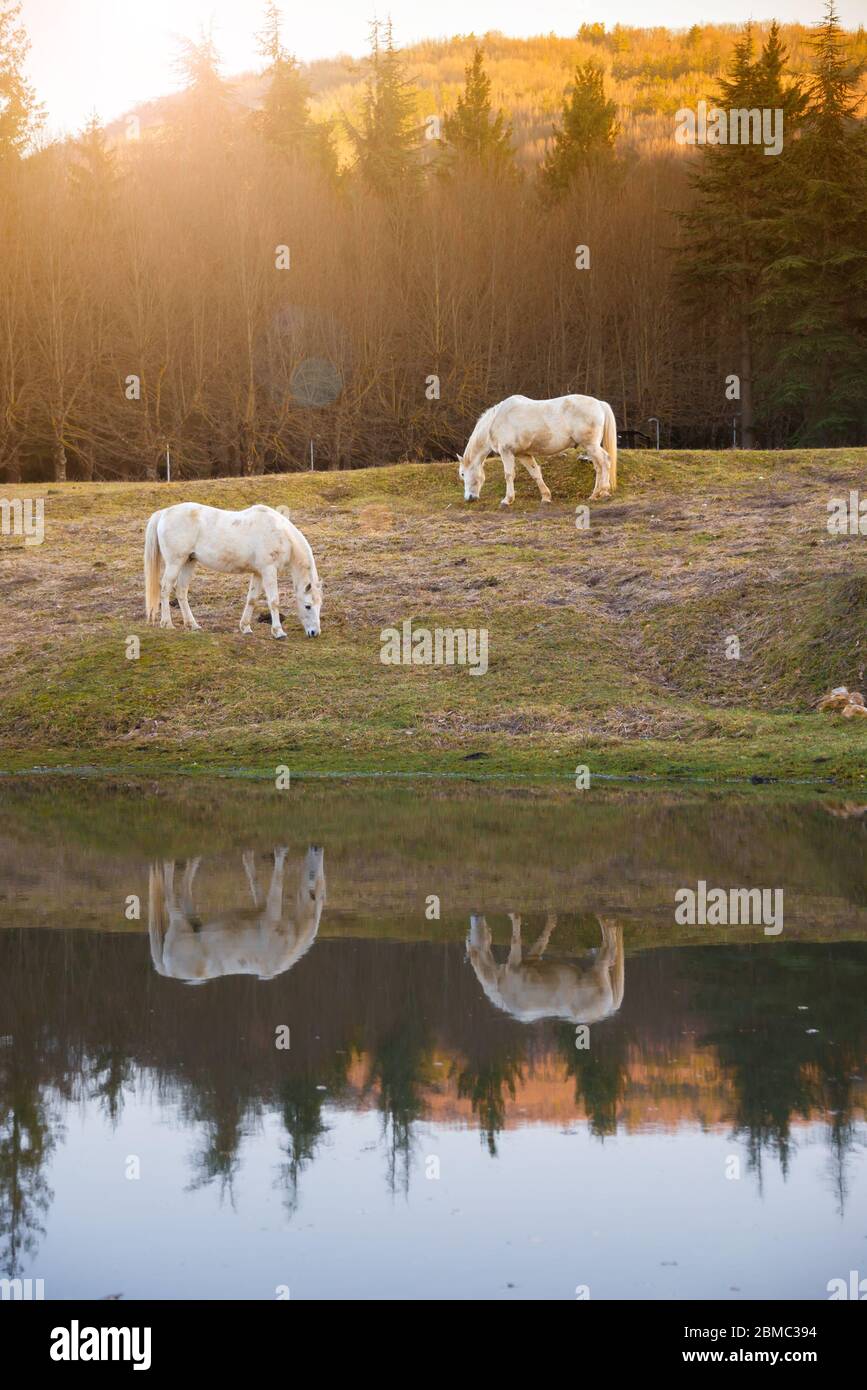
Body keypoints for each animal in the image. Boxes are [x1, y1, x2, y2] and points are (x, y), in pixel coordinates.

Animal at [144, 502, 322, 638]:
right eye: (307, 606)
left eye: (319, 605)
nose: (315, 633)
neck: (280, 533)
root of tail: (164, 513)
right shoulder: (269, 571)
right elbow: (274, 601)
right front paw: (278, 632)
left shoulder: (258, 573)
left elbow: (252, 599)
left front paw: (246, 628)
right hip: (175, 563)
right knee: (165, 588)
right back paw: (167, 624)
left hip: (189, 562)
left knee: (181, 591)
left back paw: (193, 625)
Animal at [458, 393, 618, 506]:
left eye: (462, 474)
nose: (469, 498)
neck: (496, 420)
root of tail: (599, 403)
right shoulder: (523, 454)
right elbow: (535, 474)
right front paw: (546, 497)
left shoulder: (506, 452)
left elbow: (509, 475)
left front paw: (507, 500)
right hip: (590, 447)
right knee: (598, 467)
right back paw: (594, 495)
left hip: (591, 445)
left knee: (605, 461)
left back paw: (604, 491)